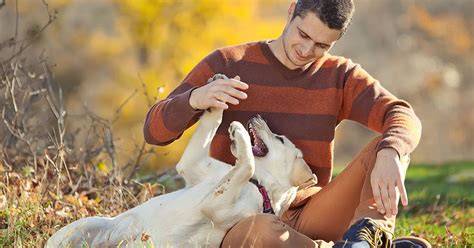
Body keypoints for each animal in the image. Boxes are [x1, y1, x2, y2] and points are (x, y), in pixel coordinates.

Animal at [46, 74, 316, 247]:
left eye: (279, 138)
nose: (258, 116)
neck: (258, 183)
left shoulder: (218, 206)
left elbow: (246, 164)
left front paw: (238, 132)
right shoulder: (194, 165)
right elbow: (214, 124)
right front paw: (217, 92)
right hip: (82, 226)